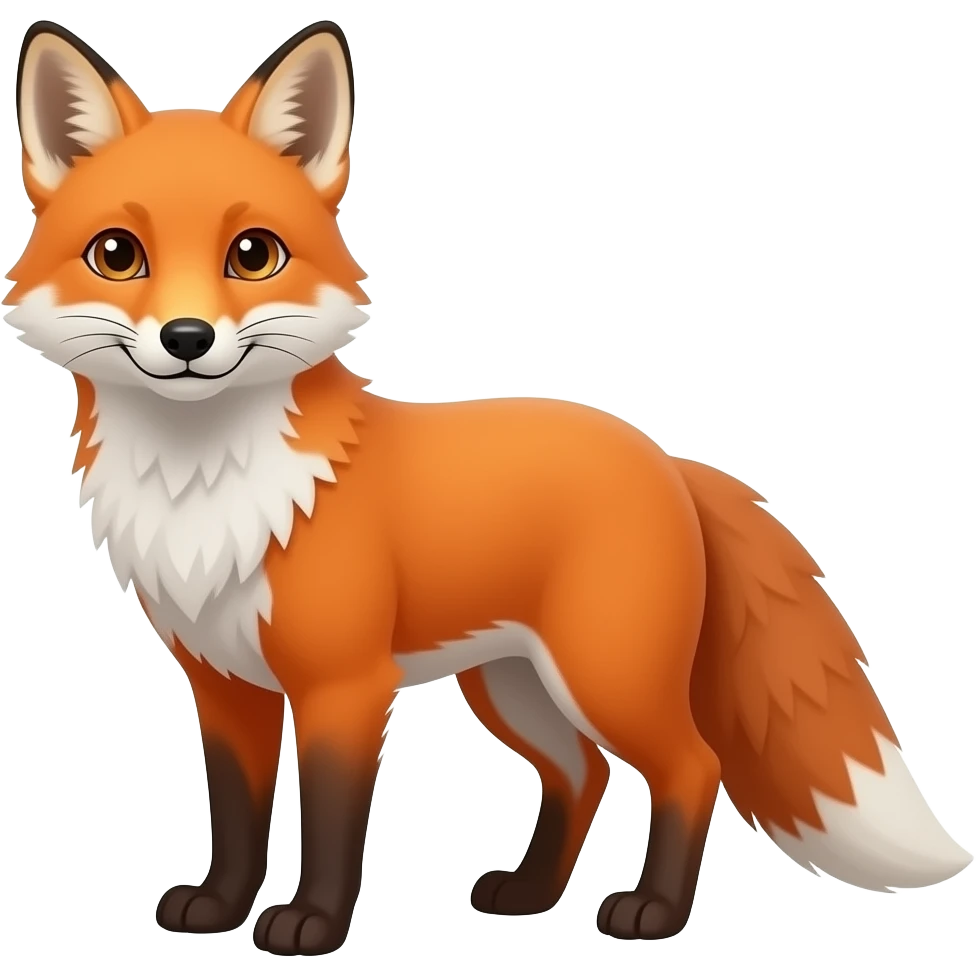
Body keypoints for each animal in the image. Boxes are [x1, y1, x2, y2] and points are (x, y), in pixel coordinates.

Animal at [4, 16, 972, 957]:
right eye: (118, 254)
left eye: (252, 254)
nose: (188, 337)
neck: (205, 485)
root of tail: (666, 458)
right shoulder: (224, 683)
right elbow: (237, 816)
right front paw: (218, 907)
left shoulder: (344, 686)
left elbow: (331, 821)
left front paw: (312, 925)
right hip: (513, 685)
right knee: (584, 773)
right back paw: (530, 895)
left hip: (605, 674)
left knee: (693, 767)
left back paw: (653, 914)